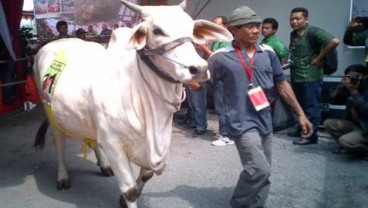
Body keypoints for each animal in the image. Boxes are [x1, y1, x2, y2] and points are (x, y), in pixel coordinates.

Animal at [32, 0, 233, 207]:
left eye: (191, 28)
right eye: (157, 30)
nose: (199, 69)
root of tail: (57, 42)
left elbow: (145, 176)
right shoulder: (114, 144)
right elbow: (130, 190)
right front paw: (125, 197)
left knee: (91, 139)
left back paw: (104, 165)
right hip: (51, 114)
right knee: (59, 144)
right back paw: (63, 176)